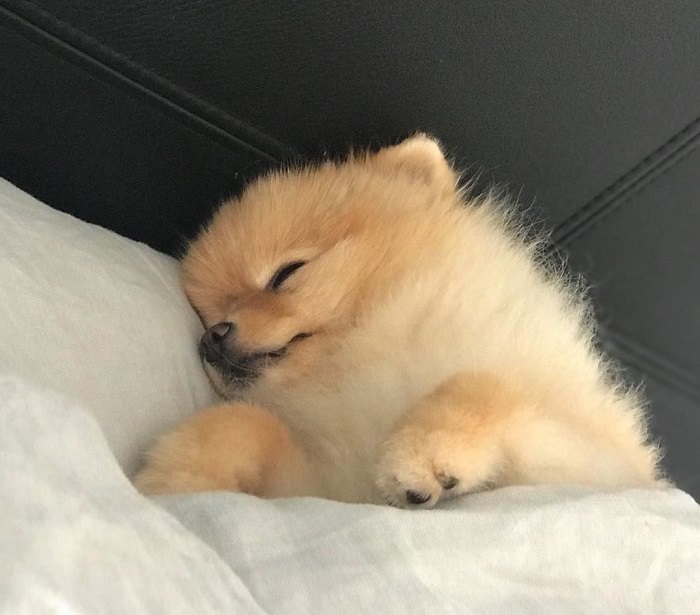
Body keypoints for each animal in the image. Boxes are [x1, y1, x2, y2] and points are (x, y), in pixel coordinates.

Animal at [134, 136, 664, 510]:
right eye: (206, 313)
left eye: (287, 274)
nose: (212, 336)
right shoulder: (335, 484)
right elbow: (242, 423)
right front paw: (175, 480)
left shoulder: (601, 468)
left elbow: (485, 385)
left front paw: (421, 454)